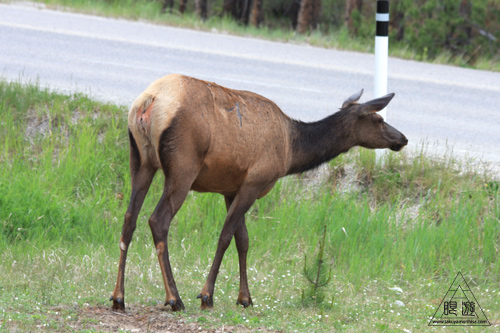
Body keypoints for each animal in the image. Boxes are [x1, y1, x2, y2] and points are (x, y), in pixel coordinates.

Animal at [109, 73, 406, 312]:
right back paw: (174, 298)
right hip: (183, 165)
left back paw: (118, 297)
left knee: (128, 219)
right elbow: (226, 237)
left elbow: (243, 240)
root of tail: (148, 103)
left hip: (141, 160)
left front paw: (245, 298)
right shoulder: (254, 181)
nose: (402, 138)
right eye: (379, 119)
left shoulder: (232, 188)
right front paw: (207, 295)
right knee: (158, 220)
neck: (291, 151)